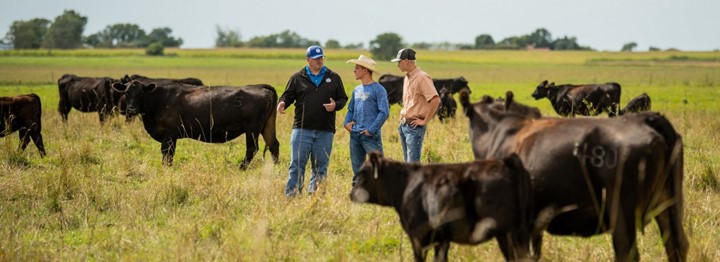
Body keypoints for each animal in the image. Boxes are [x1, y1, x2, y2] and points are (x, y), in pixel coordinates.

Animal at [111, 81, 280, 169]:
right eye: (126, 92)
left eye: (141, 93)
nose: (131, 109)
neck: (160, 100)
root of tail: (259, 86)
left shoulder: (169, 134)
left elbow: (167, 153)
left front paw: (166, 169)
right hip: (266, 125)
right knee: (274, 144)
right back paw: (275, 167)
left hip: (252, 128)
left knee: (252, 148)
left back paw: (241, 168)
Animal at [348, 151, 536, 262]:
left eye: (363, 172)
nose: (351, 192)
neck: (406, 185)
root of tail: (506, 162)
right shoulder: (441, 239)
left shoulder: (418, 236)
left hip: (507, 233)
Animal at [462, 90, 688, 262]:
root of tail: (645, 119)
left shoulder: (507, 225)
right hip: (669, 204)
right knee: (676, 245)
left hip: (622, 212)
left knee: (626, 252)